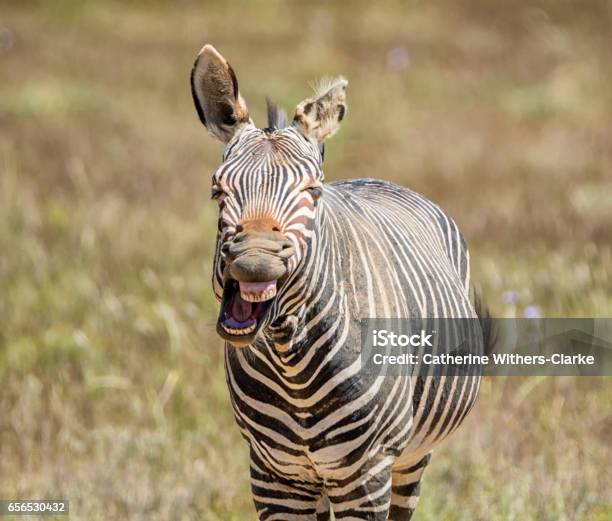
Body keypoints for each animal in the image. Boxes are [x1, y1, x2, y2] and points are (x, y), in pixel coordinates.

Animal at [189, 44, 490, 520]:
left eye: (313, 192)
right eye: (218, 192)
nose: (255, 260)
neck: (291, 365)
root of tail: (375, 179)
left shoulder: (367, 472)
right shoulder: (273, 474)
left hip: (409, 455)